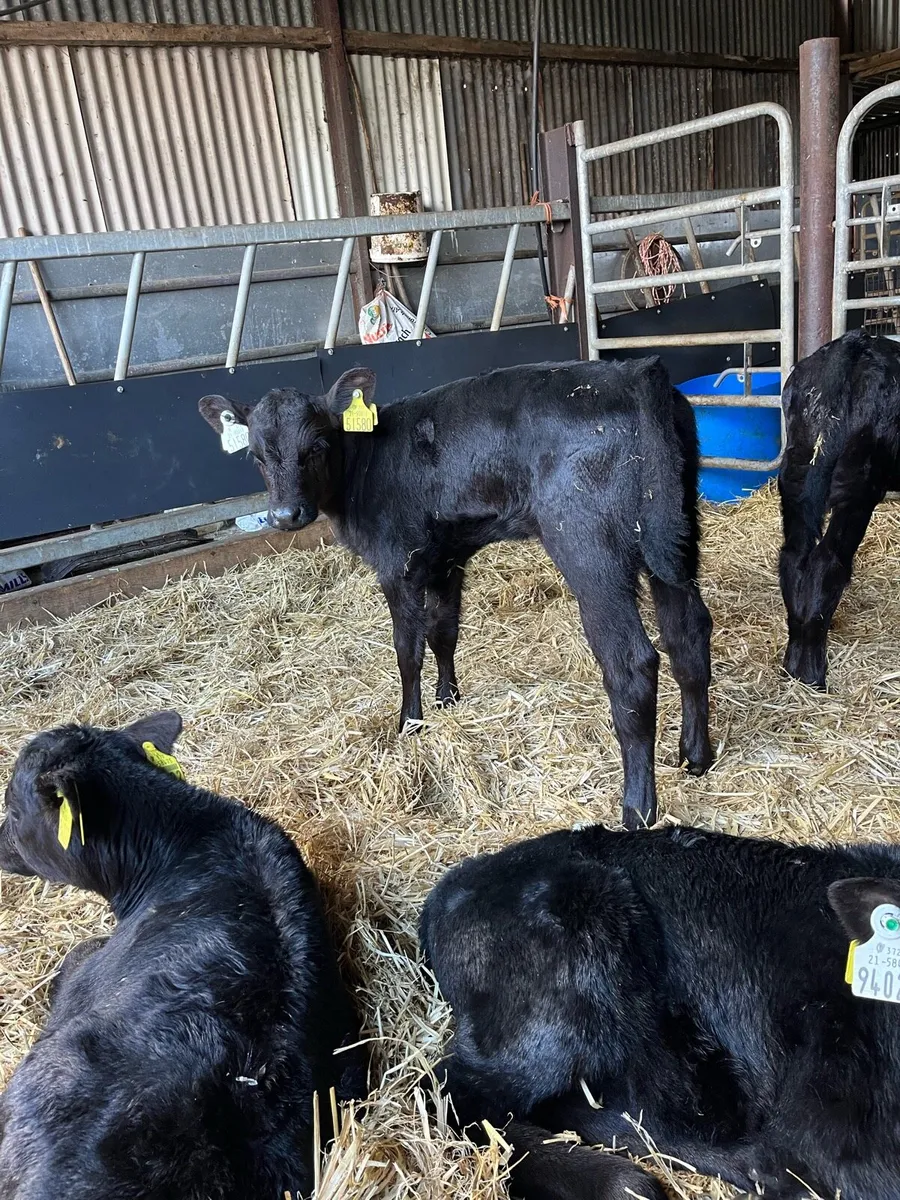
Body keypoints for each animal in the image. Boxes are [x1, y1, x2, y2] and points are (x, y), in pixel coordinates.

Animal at [199, 358, 713, 829]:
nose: (285, 515)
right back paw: (695, 756)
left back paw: (637, 809)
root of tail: (632, 371)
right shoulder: (446, 557)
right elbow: (443, 632)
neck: (364, 465)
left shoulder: (398, 563)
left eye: (317, 445)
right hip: (676, 538)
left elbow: (407, 650)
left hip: (591, 550)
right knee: (688, 635)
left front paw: (410, 721)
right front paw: (448, 698)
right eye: (257, 455)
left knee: (631, 665)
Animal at [778, 329, 900, 688]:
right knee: (828, 562)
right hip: (859, 487)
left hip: (797, 474)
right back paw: (812, 673)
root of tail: (852, 345)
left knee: (795, 557)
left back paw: (793, 662)